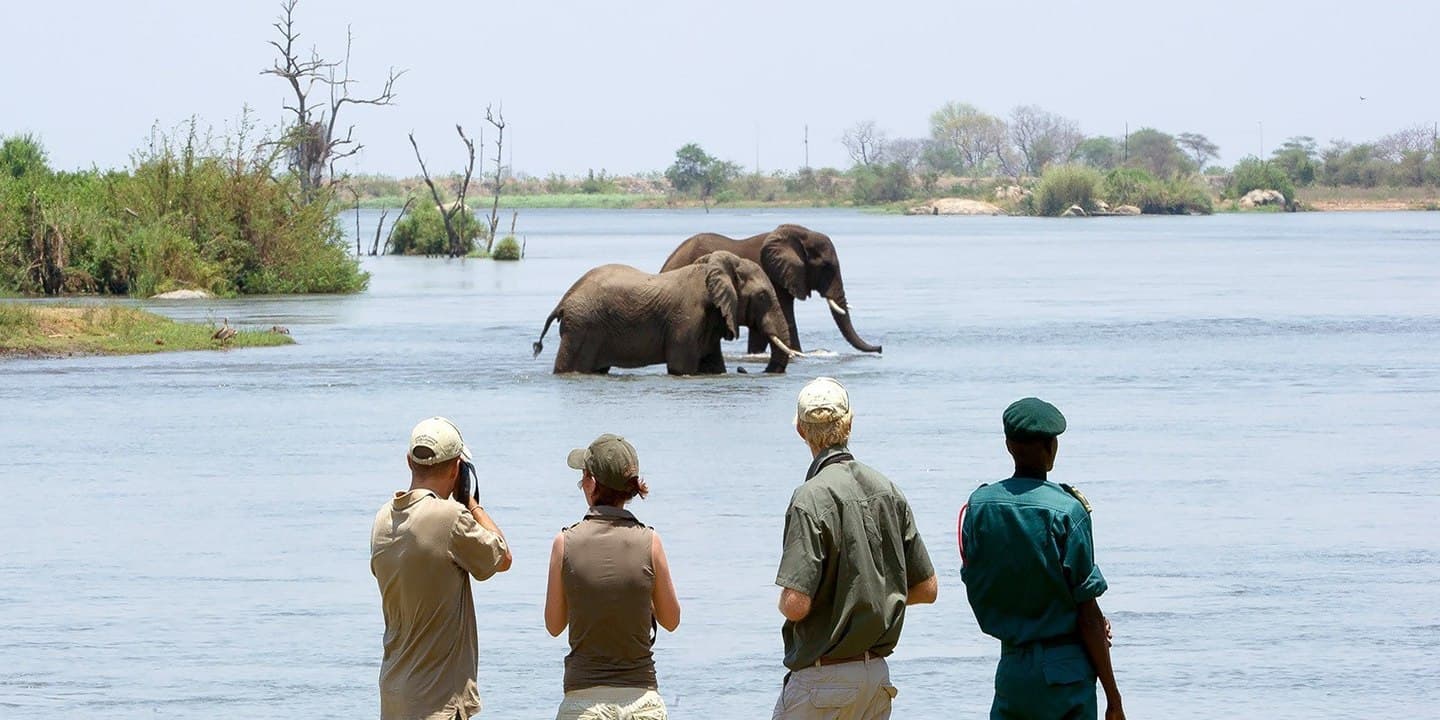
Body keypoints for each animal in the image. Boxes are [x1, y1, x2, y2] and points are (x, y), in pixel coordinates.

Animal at [532, 251, 799, 375]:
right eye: (763, 296)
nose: (743, 369)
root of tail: (565, 300)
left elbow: (714, 367)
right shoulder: (688, 319)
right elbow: (681, 367)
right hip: (582, 328)